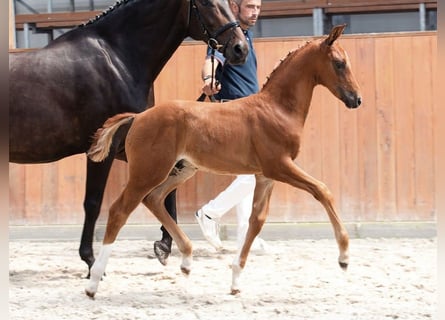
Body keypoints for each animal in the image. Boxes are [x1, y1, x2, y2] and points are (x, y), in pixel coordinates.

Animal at [8, 0, 248, 276]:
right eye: (207, 3)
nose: (240, 48)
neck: (117, 59)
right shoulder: (103, 149)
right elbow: (93, 202)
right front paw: (91, 261)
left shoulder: (131, 145)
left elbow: (166, 191)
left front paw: (164, 246)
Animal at [84, 24, 360, 298]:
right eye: (339, 63)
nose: (356, 99)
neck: (277, 109)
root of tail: (138, 117)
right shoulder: (279, 166)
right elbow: (322, 190)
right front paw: (344, 257)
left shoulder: (265, 176)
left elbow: (256, 220)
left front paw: (236, 280)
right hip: (148, 172)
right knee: (120, 210)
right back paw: (93, 282)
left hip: (182, 170)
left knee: (154, 199)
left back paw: (186, 260)